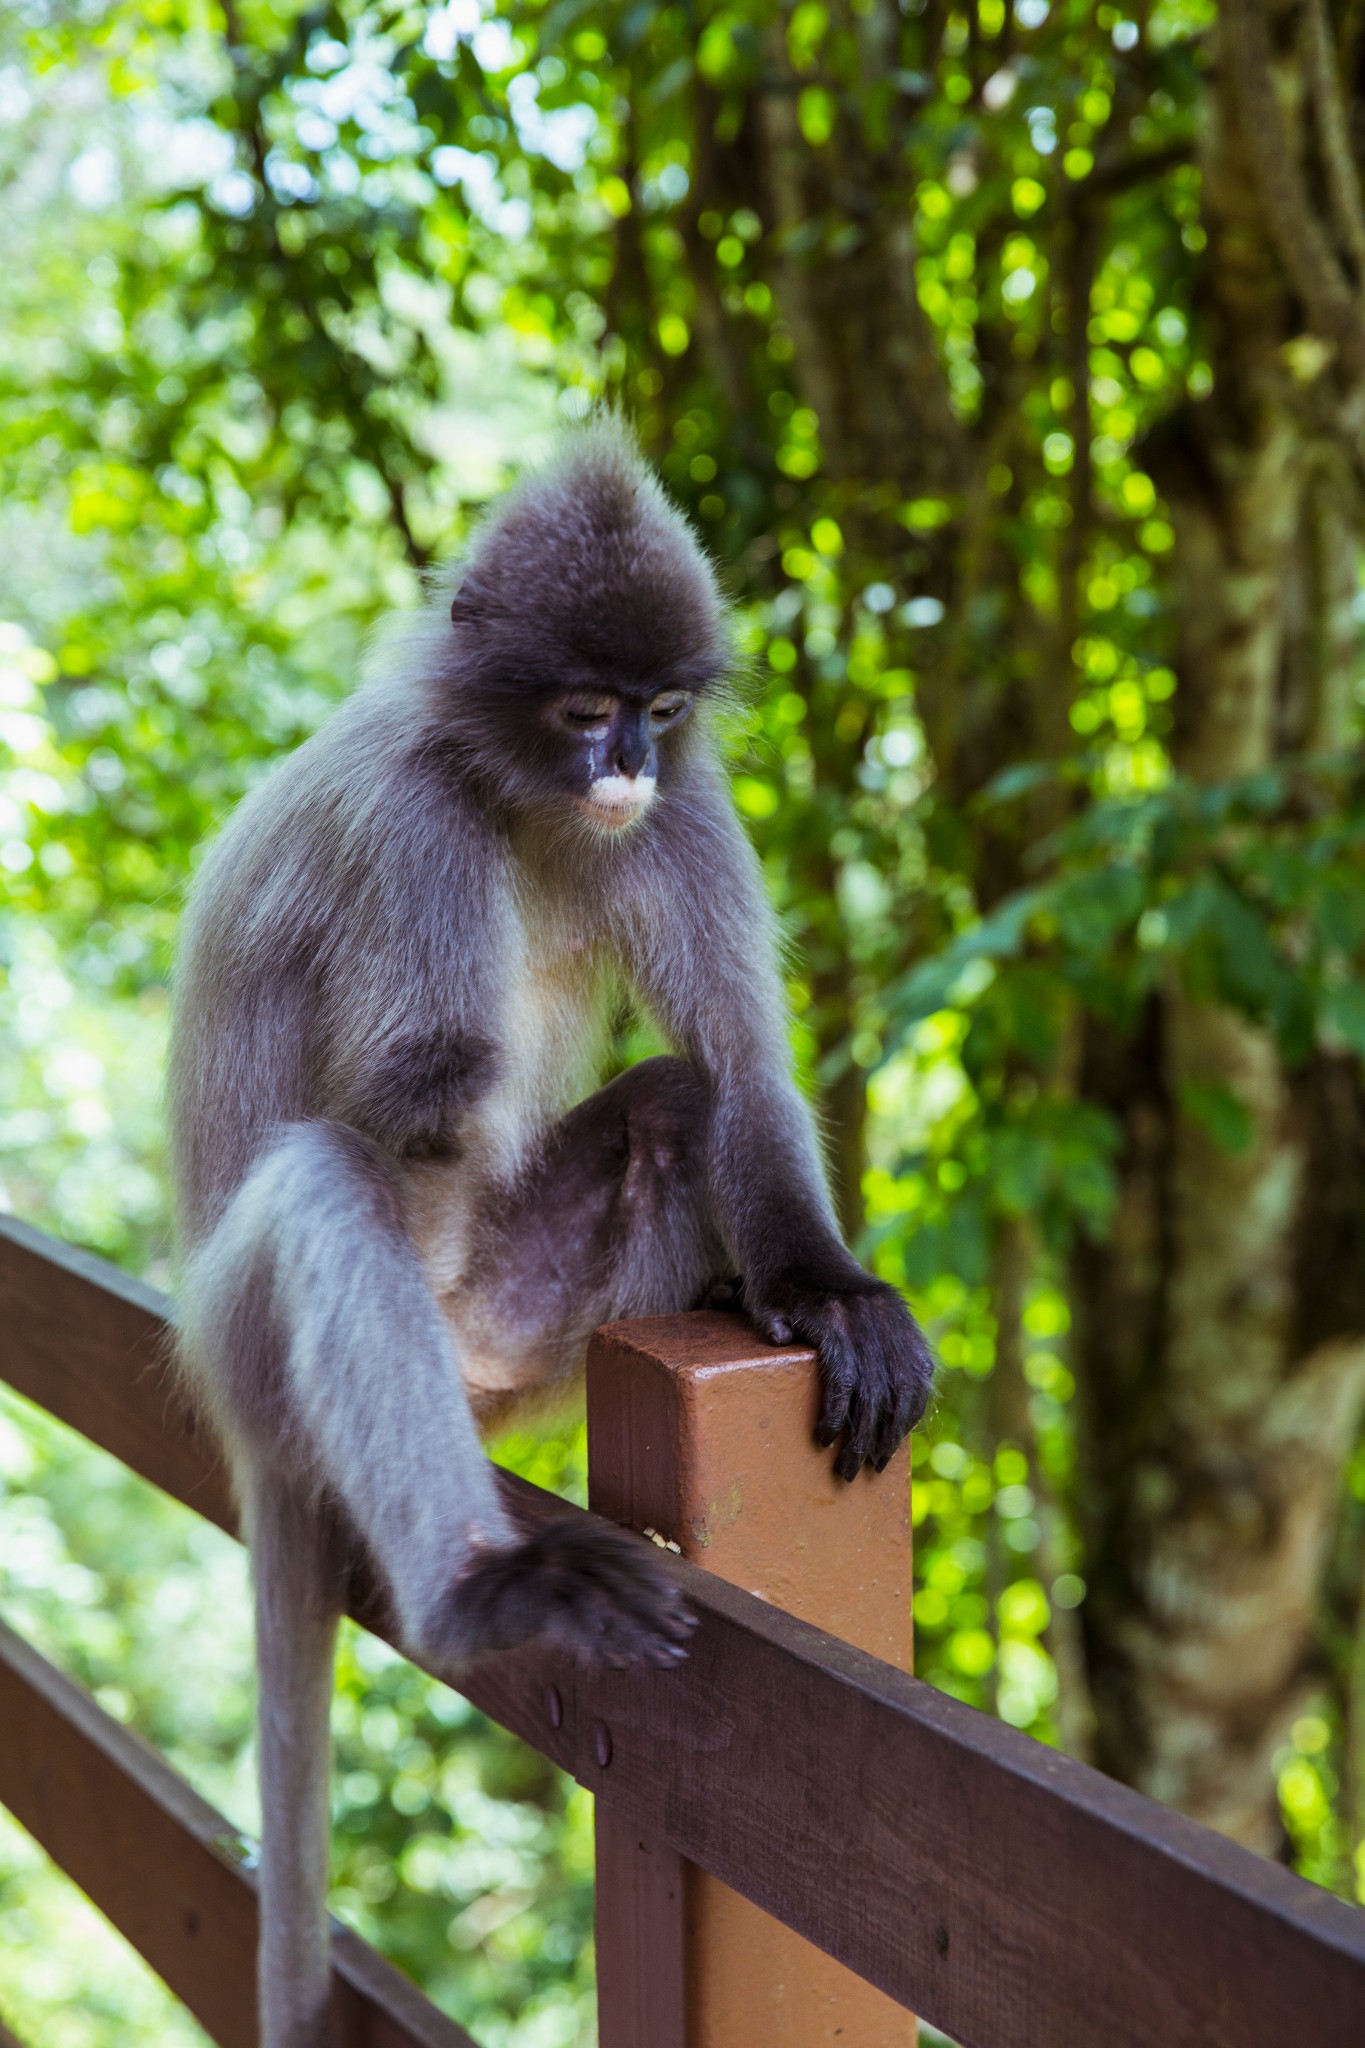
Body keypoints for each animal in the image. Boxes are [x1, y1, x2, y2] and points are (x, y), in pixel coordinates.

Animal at [170, 419, 933, 2048]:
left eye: (656, 710)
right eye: (584, 709)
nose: (628, 763)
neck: (521, 800)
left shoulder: (685, 808)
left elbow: (738, 1063)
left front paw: (826, 1295)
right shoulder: (414, 825)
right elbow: (412, 1093)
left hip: (528, 1337)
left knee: (670, 1101)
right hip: (250, 1345)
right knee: (327, 1179)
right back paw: (474, 1589)